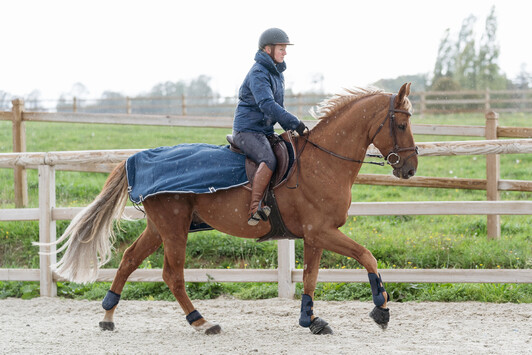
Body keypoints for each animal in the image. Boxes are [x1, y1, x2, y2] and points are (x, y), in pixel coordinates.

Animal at [45, 82, 418, 336]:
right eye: (401, 124)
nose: (410, 168)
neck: (322, 161)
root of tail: (138, 159)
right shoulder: (322, 231)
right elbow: (367, 256)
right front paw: (381, 310)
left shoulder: (314, 236)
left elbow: (310, 278)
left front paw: (310, 319)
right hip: (174, 229)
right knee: (172, 275)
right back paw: (201, 321)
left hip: (159, 228)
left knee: (129, 260)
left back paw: (108, 316)